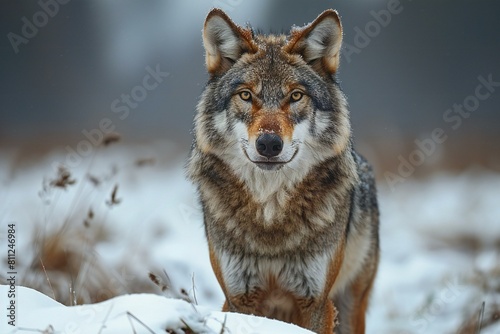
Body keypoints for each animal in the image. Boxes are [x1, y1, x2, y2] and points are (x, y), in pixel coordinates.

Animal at [188, 8, 378, 334]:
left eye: (296, 96)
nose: (268, 144)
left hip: (351, 305)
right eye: (246, 95)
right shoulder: (239, 298)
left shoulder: (316, 302)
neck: (270, 212)